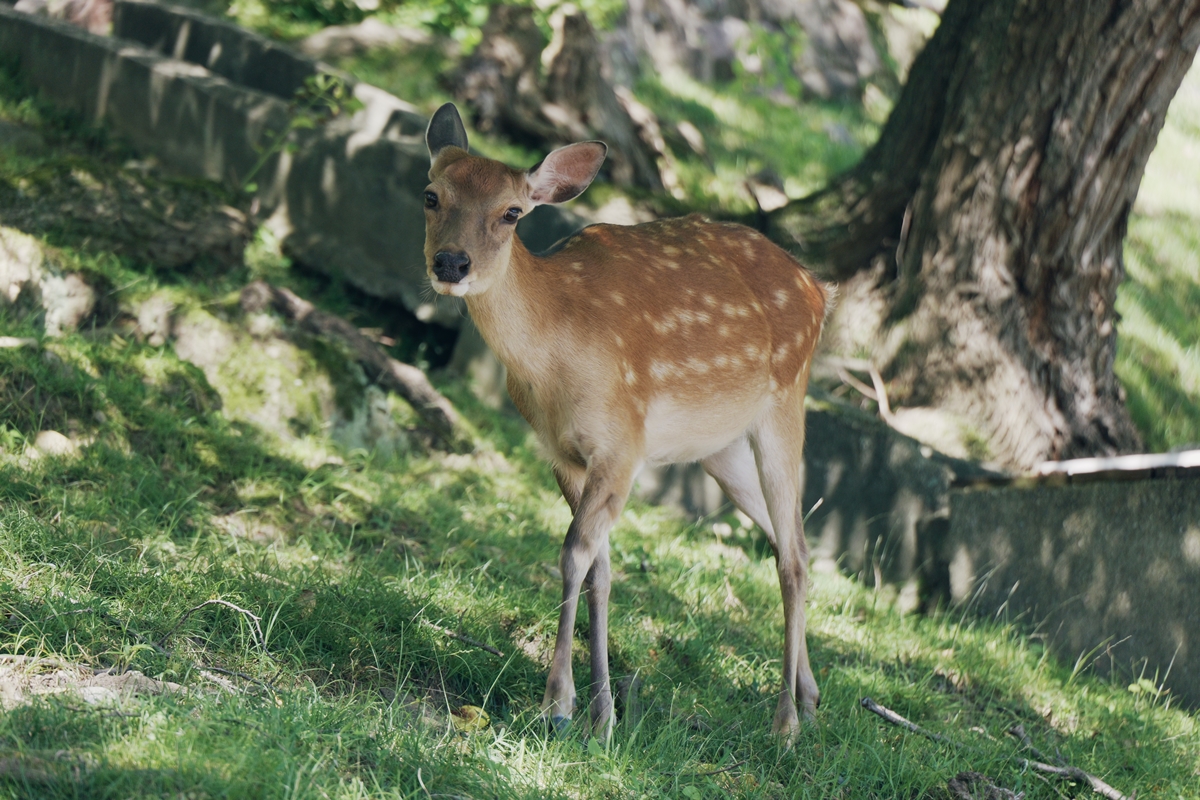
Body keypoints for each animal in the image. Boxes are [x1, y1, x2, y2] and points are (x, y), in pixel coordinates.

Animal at [422, 103, 825, 743]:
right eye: (431, 194)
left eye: (512, 213)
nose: (451, 263)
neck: (557, 359)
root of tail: (820, 288)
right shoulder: (563, 454)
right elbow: (600, 571)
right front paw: (603, 714)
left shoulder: (622, 444)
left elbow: (573, 555)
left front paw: (557, 704)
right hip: (719, 450)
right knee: (789, 540)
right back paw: (810, 699)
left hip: (785, 406)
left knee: (792, 555)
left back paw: (784, 723)